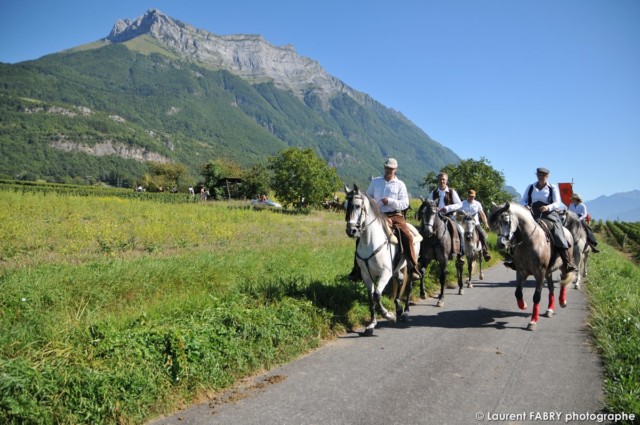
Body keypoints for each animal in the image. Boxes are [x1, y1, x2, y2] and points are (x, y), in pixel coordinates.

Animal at [344, 185, 420, 334]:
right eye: (345, 206)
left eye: (357, 206)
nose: (351, 231)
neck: (370, 241)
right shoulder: (366, 275)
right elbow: (371, 297)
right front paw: (371, 325)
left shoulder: (385, 273)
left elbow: (377, 295)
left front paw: (388, 316)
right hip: (397, 267)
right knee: (400, 279)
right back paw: (398, 308)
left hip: (409, 265)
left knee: (409, 285)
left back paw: (405, 312)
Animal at [488, 202, 576, 332]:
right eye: (496, 224)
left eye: (506, 221)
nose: (501, 244)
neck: (529, 242)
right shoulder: (521, 272)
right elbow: (518, 293)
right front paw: (523, 305)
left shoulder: (540, 273)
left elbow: (536, 297)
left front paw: (533, 321)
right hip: (548, 272)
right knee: (551, 288)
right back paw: (550, 309)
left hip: (563, 266)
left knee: (564, 281)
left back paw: (562, 301)